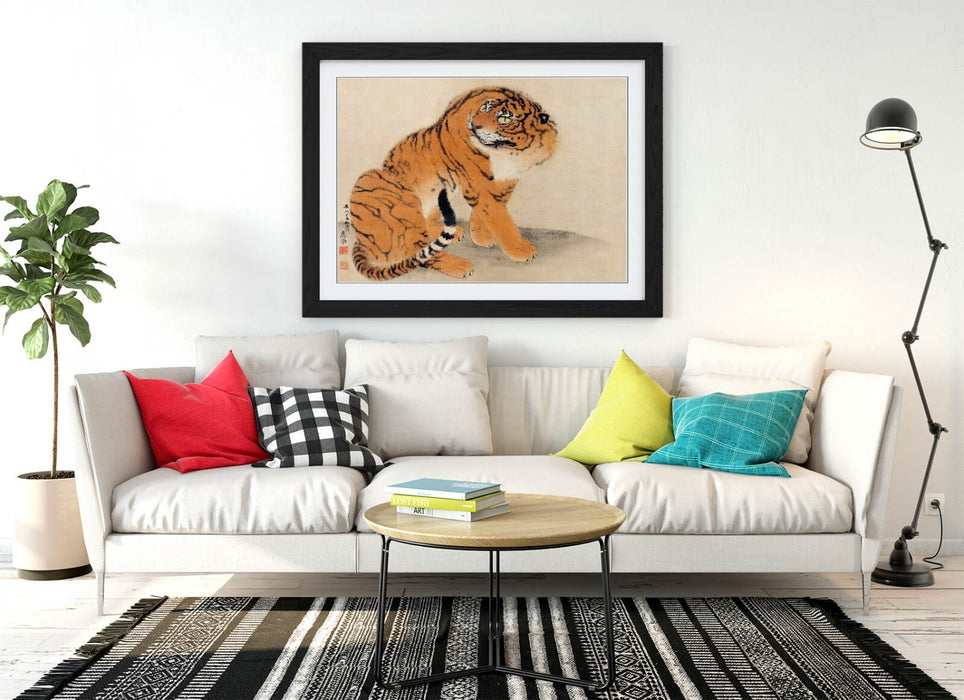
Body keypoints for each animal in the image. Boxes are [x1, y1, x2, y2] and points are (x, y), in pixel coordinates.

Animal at [349, 87, 558, 280]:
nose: (474, 125)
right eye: (484, 108)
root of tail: (361, 239)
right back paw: (460, 265)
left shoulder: (506, 181)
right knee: (416, 252)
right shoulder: (477, 182)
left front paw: (481, 236)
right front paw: (520, 249)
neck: (509, 152)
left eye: (504, 119)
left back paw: (453, 232)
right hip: (389, 192)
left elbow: (492, 211)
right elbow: (499, 218)